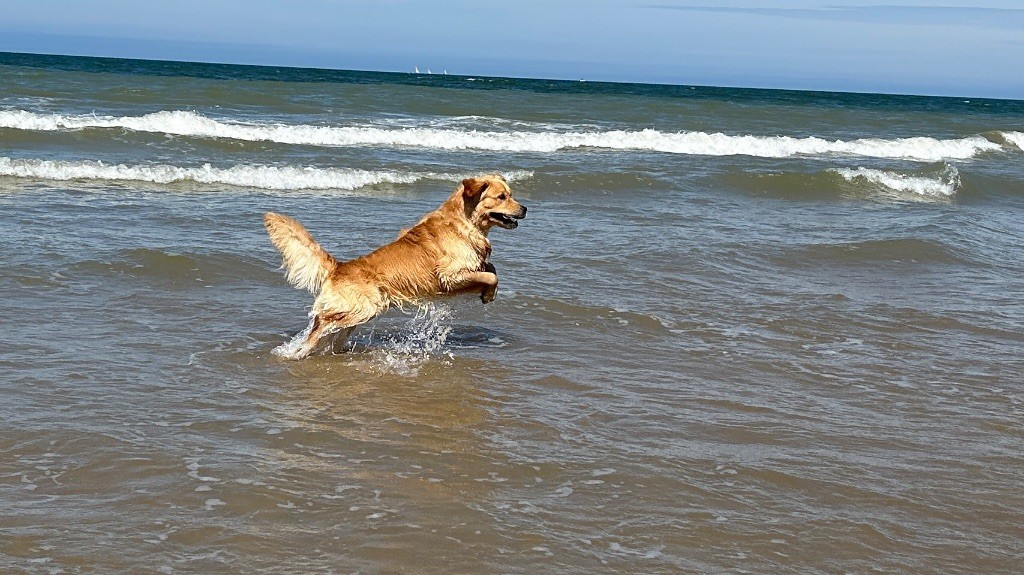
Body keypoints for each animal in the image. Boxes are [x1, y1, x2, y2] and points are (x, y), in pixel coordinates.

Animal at [264, 171, 528, 356]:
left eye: (511, 194)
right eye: (502, 197)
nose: (525, 208)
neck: (464, 222)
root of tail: (339, 267)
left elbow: (490, 268)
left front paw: (487, 292)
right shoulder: (449, 275)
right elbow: (491, 275)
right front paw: (489, 294)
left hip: (354, 318)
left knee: (328, 333)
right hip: (364, 309)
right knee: (320, 323)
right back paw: (298, 350)